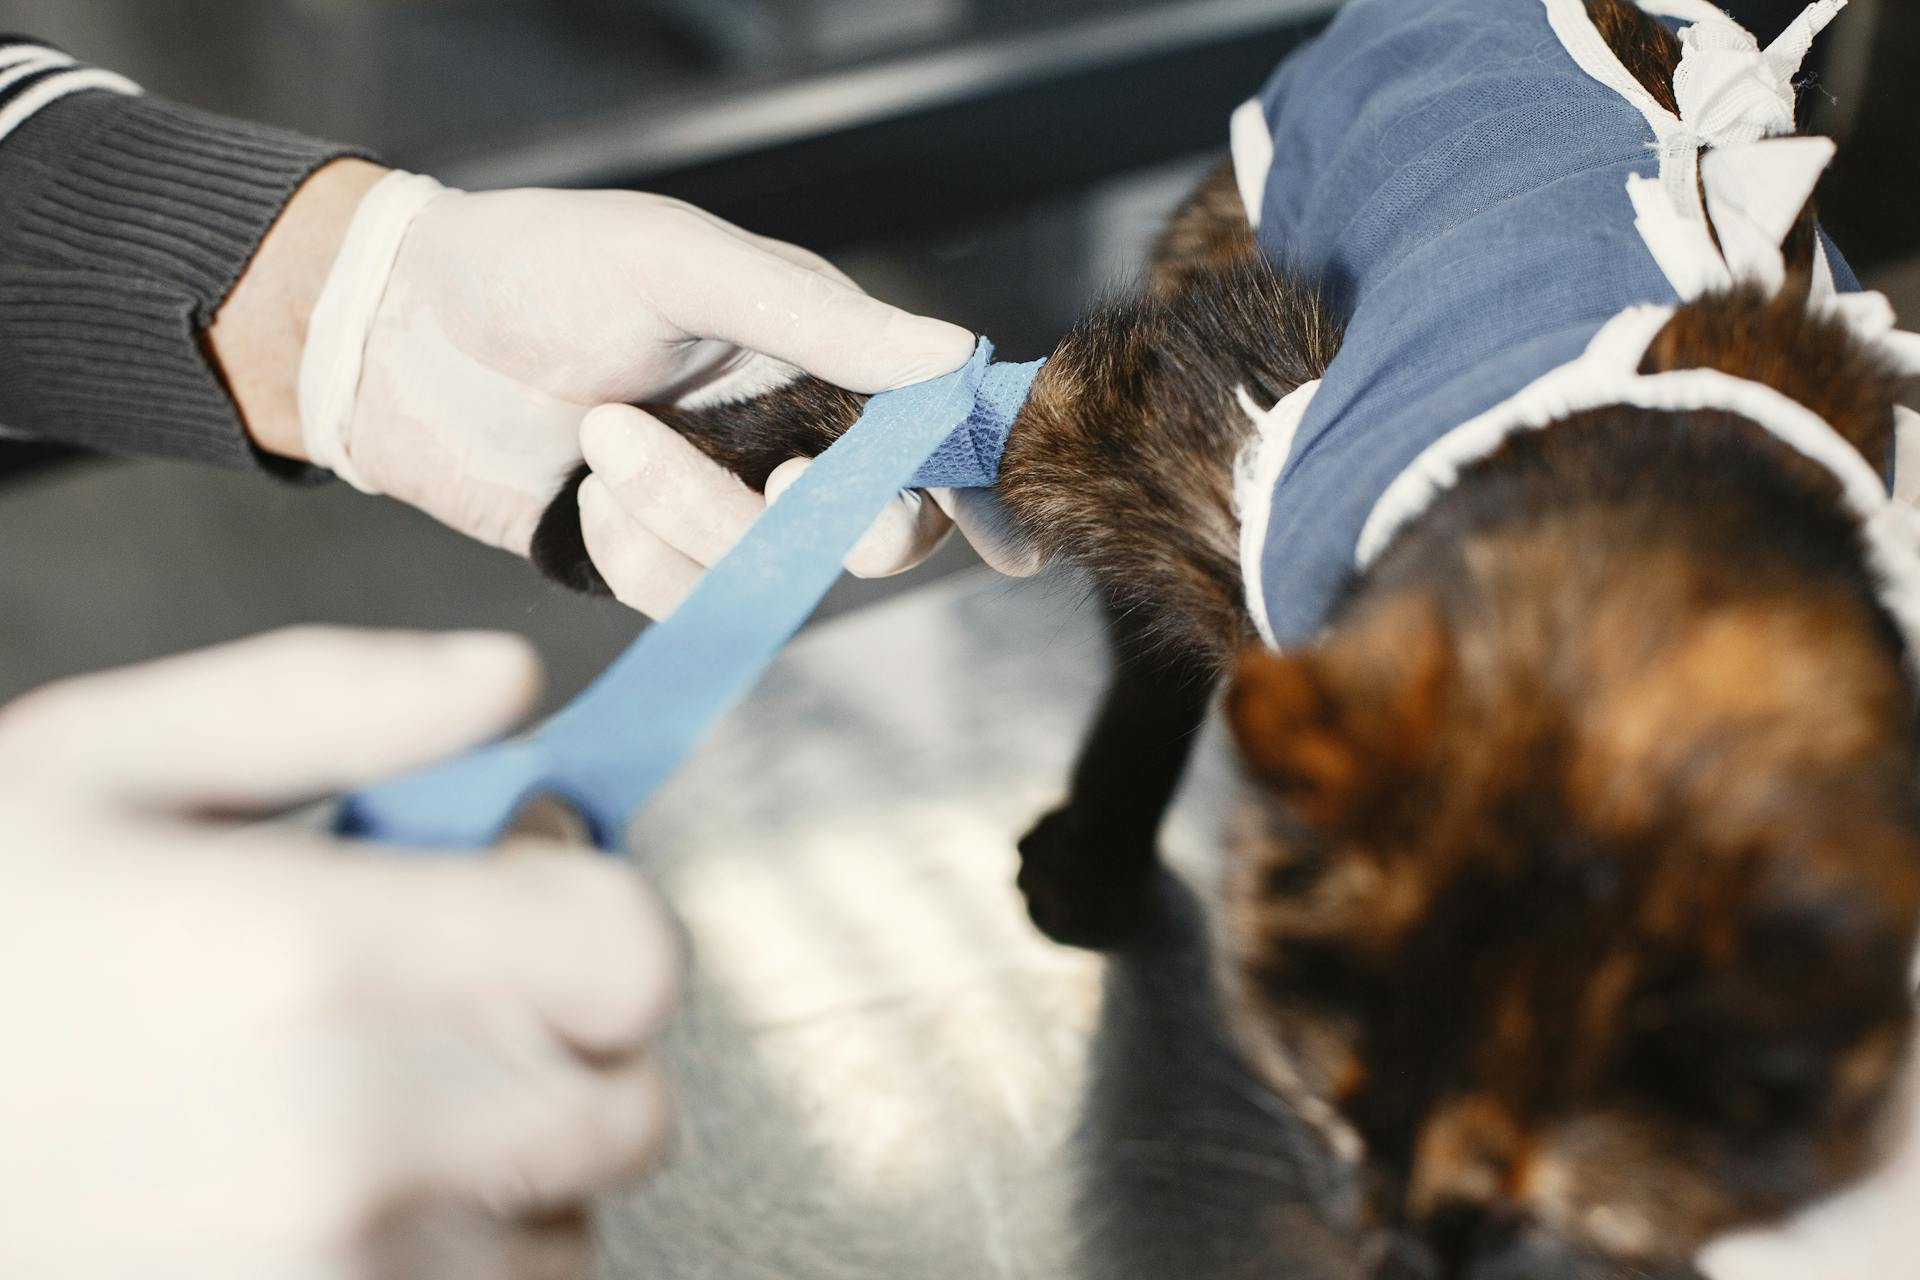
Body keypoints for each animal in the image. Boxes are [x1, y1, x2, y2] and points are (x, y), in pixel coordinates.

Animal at [529, 5, 1920, 1274]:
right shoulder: (1157, 400)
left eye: (1555, 1217)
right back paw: (1089, 856)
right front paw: (616, 495)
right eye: (1326, 1099)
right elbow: (926, 397)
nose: (1403, 1247)